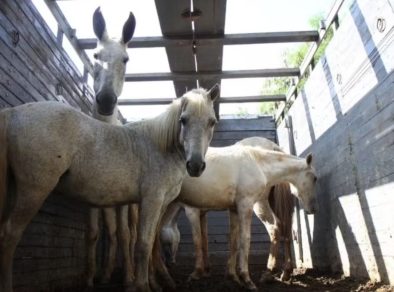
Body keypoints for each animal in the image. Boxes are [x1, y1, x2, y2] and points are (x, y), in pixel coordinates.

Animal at [0, 85, 220, 292]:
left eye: (212, 122)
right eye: (183, 120)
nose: (195, 165)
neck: (160, 147)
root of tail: (13, 113)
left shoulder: (160, 204)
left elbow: (151, 244)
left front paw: (155, 283)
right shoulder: (151, 201)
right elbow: (143, 244)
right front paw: (142, 286)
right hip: (33, 191)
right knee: (10, 234)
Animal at [158, 138, 318, 290]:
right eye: (315, 178)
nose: (312, 209)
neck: (257, 162)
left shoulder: (231, 208)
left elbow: (234, 240)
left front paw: (234, 277)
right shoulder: (205, 209)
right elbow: (207, 239)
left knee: (277, 228)